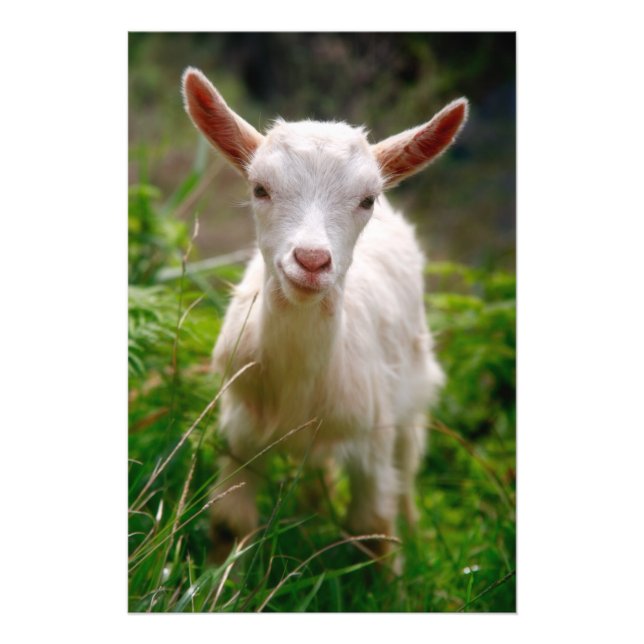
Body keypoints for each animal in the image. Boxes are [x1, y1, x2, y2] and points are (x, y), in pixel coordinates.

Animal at [181, 67, 468, 566]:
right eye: (259, 188)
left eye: (367, 199)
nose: (312, 260)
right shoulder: (240, 431)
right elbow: (229, 522)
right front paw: (216, 579)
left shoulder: (373, 437)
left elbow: (373, 530)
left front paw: (392, 581)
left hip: (413, 390)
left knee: (408, 468)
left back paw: (417, 537)